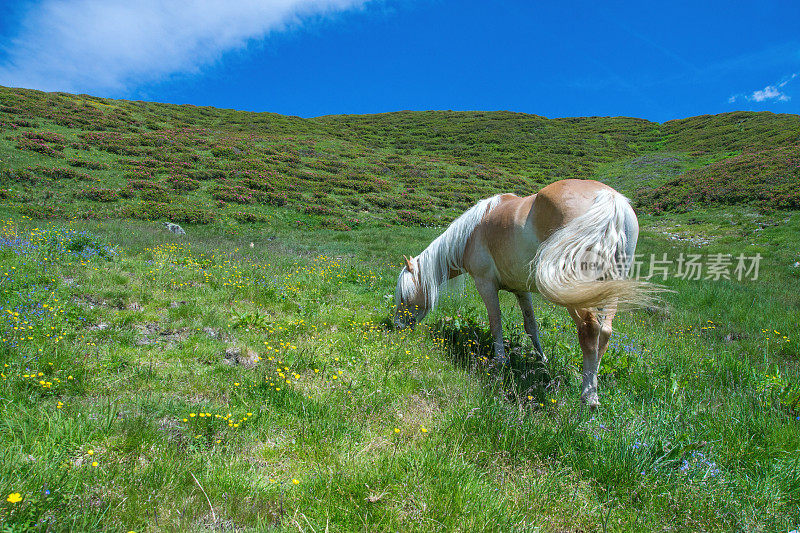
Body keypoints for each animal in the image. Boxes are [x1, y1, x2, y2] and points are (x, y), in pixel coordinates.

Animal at [394, 177, 656, 406]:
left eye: (405, 297)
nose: (397, 326)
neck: (471, 232)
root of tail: (608, 198)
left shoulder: (485, 283)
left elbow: (495, 321)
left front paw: (499, 362)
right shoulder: (522, 290)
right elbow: (531, 326)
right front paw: (542, 361)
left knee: (589, 330)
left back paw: (588, 398)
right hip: (609, 289)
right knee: (605, 331)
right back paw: (592, 385)